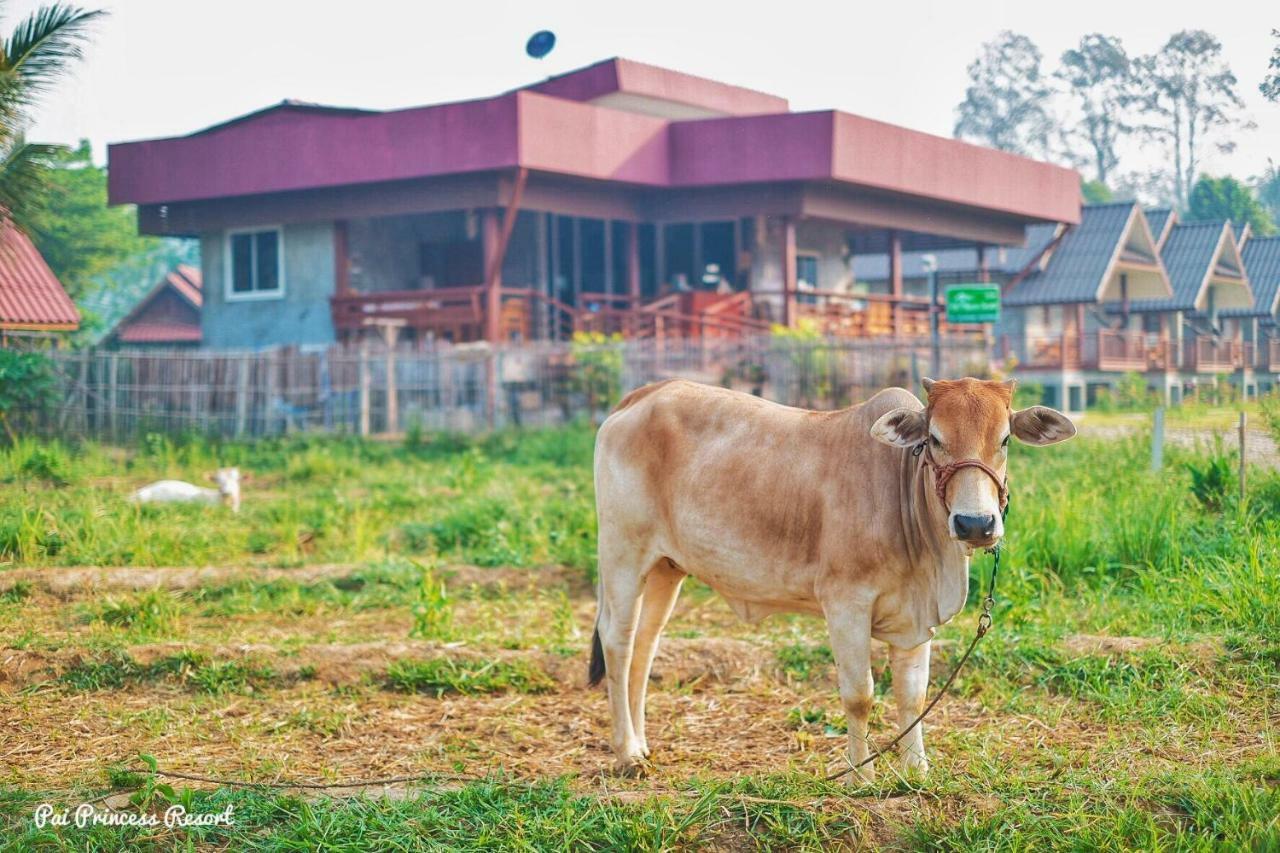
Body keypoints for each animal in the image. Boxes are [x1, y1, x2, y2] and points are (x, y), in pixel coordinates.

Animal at [593, 376, 1075, 773]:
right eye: (935, 439)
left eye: (1005, 439)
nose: (976, 524)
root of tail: (642, 395)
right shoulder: (846, 604)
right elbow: (859, 695)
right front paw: (860, 776)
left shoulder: (914, 621)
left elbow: (913, 696)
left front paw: (916, 772)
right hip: (623, 554)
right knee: (618, 642)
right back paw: (627, 752)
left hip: (665, 568)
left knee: (645, 646)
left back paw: (642, 743)